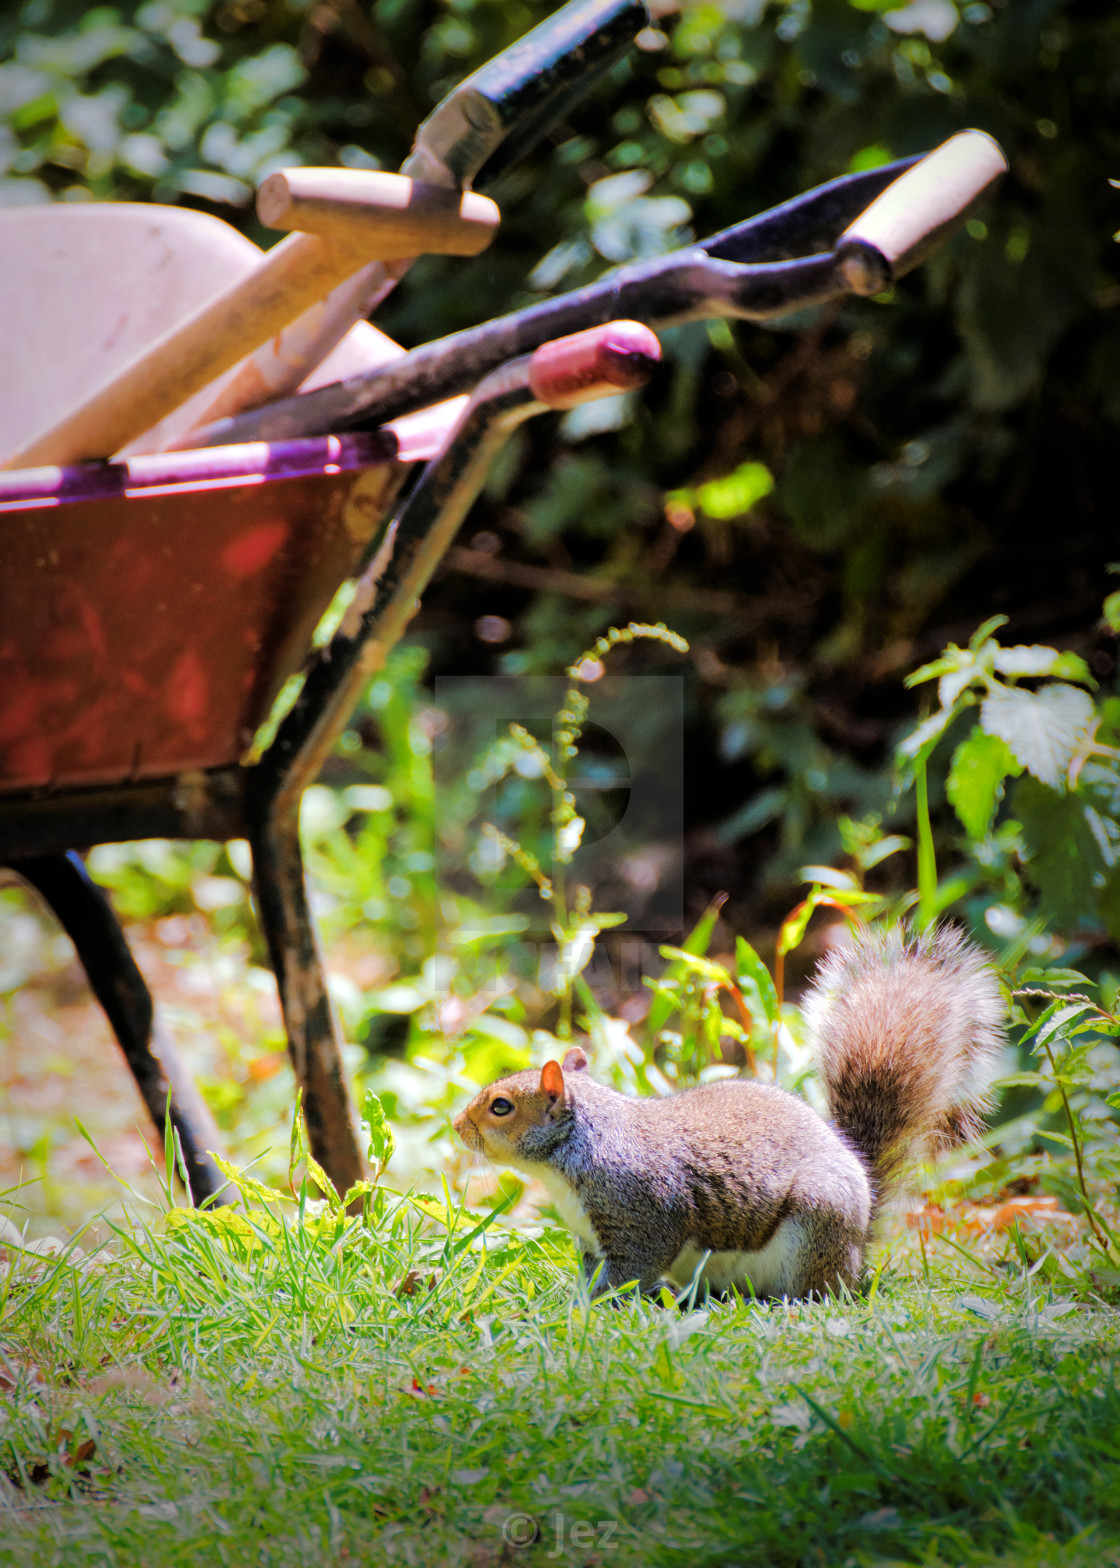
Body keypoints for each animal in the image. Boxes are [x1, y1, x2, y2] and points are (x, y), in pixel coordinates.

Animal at [454, 928, 1003, 1298]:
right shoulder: (591, 1238)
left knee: (818, 1289)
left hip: (816, 1224)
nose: (458, 1127)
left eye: (501, 1107)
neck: (568, 1157)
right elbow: (594, 1272)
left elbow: (634, 1266)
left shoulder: (643, 1210)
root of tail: (862, 1235)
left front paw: (591, 1309)